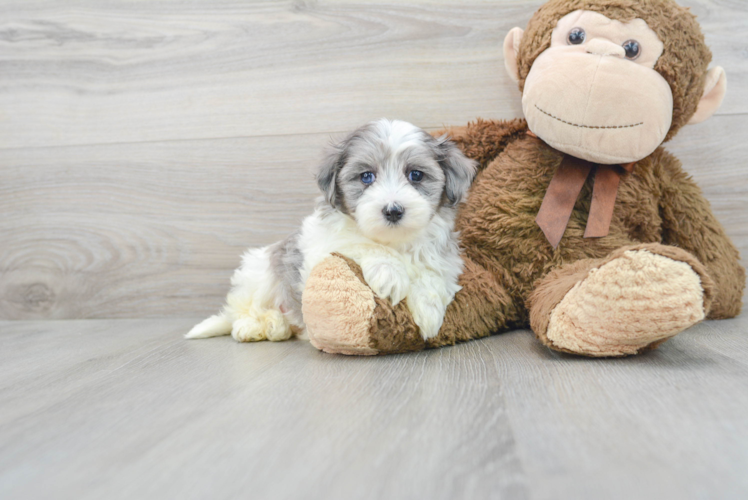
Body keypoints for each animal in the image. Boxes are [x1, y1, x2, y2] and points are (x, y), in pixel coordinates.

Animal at [190, 118, 476, 344]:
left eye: (416, 175)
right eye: (366, 177)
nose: (393, 210)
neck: (394, 241)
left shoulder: (443, 257)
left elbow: (433, 273)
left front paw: (429, 313)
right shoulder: (327, 245)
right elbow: (361, 243)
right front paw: (390, 274)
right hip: (257, 276)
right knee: (242, 311)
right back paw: (257, 326)